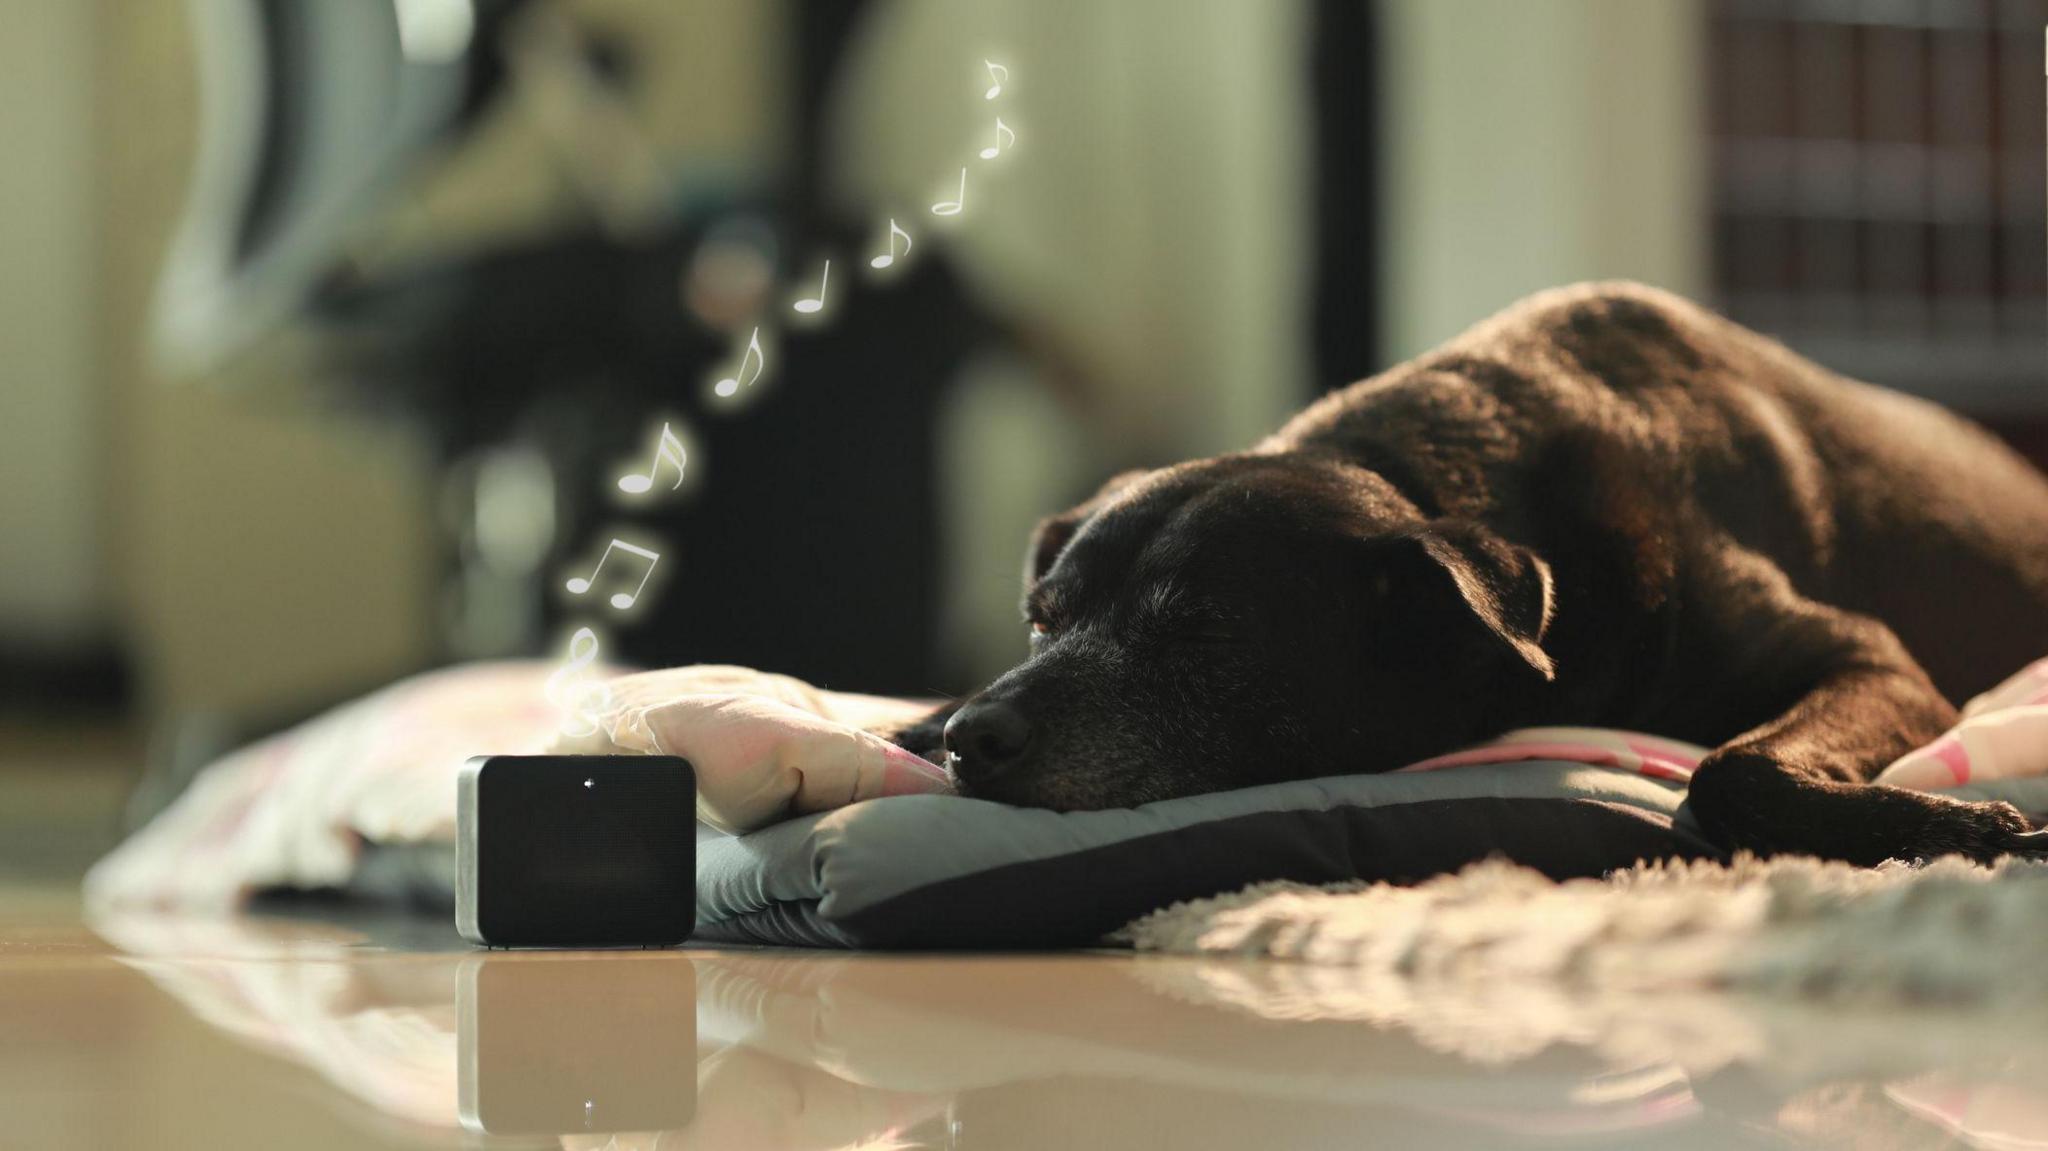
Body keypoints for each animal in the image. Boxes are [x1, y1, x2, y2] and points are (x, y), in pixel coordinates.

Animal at [888, 284, 2048, 860]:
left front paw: (1956, 828)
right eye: (1041, 620)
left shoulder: (1870, 659)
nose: (977, 738)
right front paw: (915, 720)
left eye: (1201, 628)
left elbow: (1730, 767)